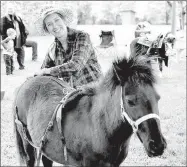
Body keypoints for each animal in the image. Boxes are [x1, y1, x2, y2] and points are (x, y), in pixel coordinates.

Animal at [13, 55, 167, 166]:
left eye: (158, 98)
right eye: (130, 101)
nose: (157, 145)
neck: (101, 126)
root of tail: (27, 82)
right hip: (27, 144)